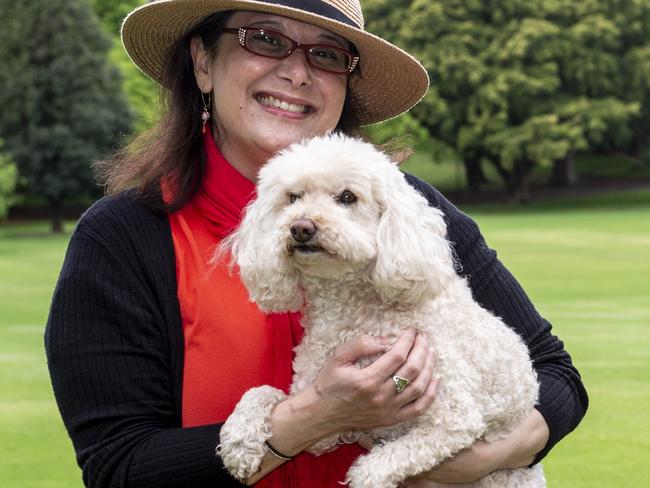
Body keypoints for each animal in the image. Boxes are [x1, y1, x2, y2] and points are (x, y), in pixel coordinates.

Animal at [216, 133, 540, 488]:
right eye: (292, 197)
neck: (352, 309)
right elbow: (262, 392)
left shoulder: (453, 419)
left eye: (347, 197)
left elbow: (380, 464)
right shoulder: (321, 420)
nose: (301, 227)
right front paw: (239, 440)